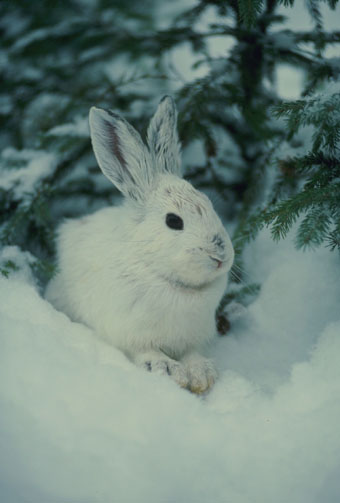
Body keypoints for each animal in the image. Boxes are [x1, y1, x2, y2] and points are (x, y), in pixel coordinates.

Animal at [45, 95, 234, 394]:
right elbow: (145, 351)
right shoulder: (128, 332)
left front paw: (201, 375)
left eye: (209, 205)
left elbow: (192, 353)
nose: (220, 256)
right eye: (173, 221)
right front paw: (168, 370)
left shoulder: (193, 337)